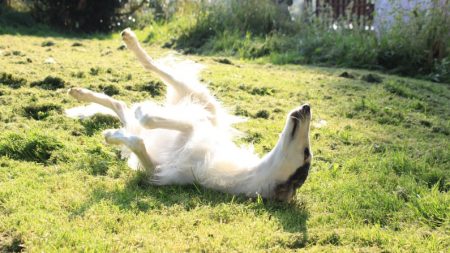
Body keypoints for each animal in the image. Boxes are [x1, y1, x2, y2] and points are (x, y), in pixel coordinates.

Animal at [66, 28, 312, 202]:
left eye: (306, 153)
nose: (307, 107)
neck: (238, 172)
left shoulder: (158, 168)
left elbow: (140, 135)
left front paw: (114, 134)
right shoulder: (196, 126)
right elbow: (154, 123)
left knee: (121, 106)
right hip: (191, 93)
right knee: (150, 66)